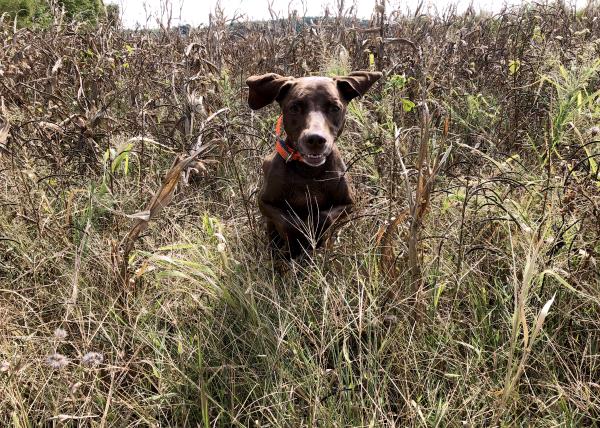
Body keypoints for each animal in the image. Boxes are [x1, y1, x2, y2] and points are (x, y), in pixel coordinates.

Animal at [247, 71, 380, 256]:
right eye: (295, 108)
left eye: (335, 108)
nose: (316, 139)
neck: (308, 173)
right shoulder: (265, 203)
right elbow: (289, 223)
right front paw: (296, 243)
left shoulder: (348, 204)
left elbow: (323, 217)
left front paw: (313, 234)